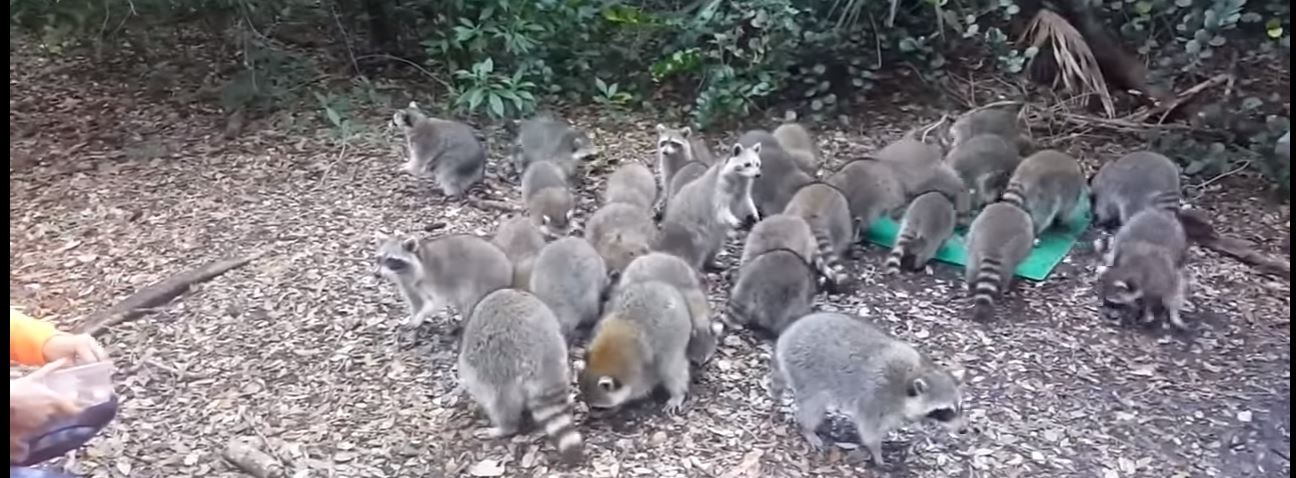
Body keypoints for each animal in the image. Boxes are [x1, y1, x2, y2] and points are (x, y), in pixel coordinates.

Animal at [374, 234, 513, 326]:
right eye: (379, 258)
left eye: (391, 260)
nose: (377, 274)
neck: (403, 272)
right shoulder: (409, 286)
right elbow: (415, 302)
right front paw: (415, 316)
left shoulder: (431, 281)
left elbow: (435, 302)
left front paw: (420, 316)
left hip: (483, 282)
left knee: (470, 302)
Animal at [580, 280, 693, 413]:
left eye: (598, 408)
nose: (591, 414)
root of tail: (663, 285)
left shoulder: (645, 372)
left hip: (677, 336)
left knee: (671, 369)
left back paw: (677, 394)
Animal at [771, 312, 965, 466]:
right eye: (945, 411)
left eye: (959, 407)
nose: (963, 430)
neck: (913, 374)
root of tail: (787, 334)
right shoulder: (876, 397)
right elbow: (868, 429)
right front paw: (876, 451)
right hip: (807, 370)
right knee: (813, 405)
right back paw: (808, 428)